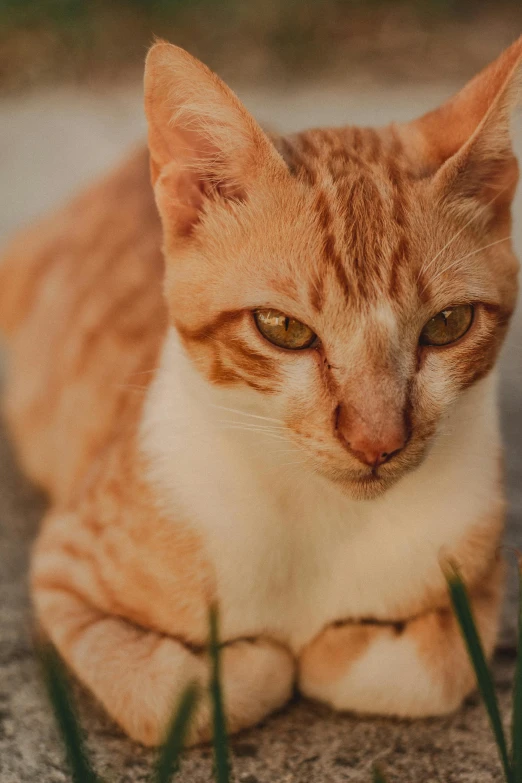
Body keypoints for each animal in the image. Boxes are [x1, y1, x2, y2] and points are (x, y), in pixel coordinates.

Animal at [0, 38, 516, 748]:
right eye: (283, 328)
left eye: (448, 324)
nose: (377, 440)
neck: (319, 520)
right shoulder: (63, 567)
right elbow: (168, 694)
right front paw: (253, 660)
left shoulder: (483, 583)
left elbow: (433, 669)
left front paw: (328, 647)